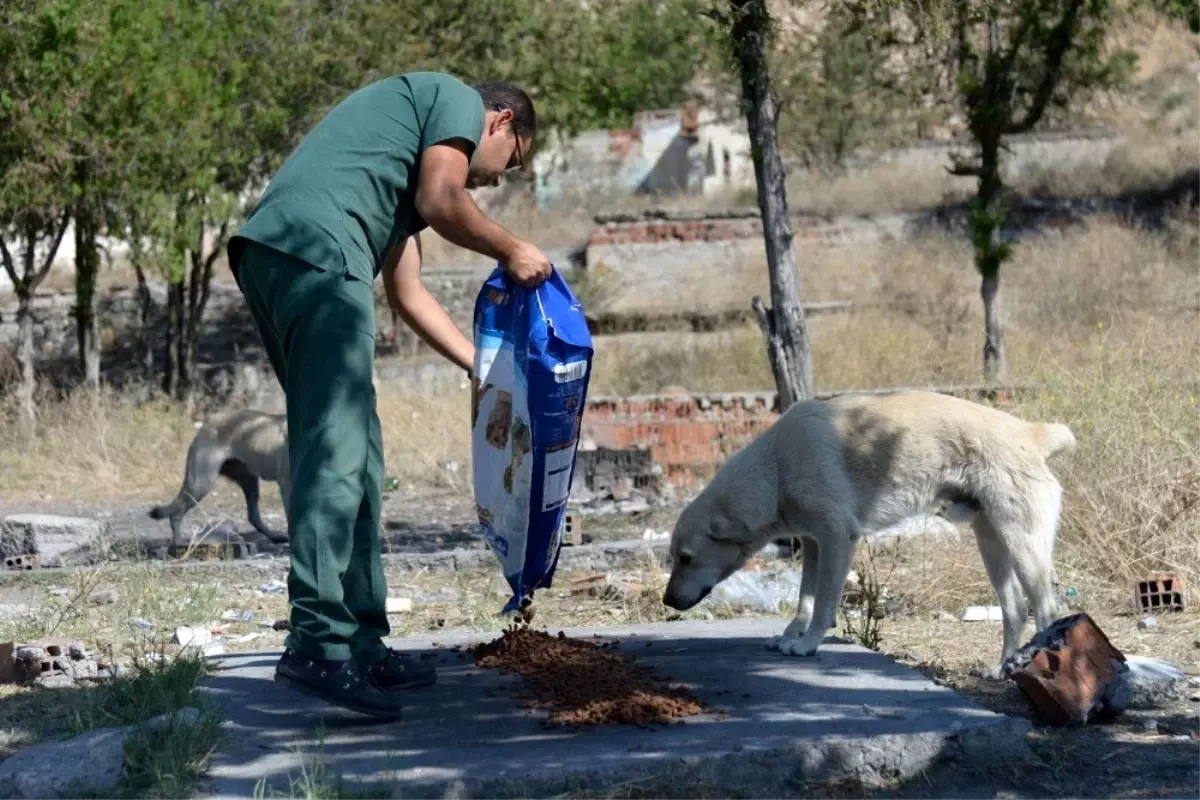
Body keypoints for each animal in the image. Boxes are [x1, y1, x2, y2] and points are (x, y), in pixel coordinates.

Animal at [667, 391, 1080, 681]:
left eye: (686, 558)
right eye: (674, 558)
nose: (667, 601)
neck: (777, 468)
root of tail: (1032, 432)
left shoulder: (837, 540)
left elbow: (822, 606)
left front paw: (808, 644)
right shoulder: (814, 544)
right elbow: (804, 600)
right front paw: (789, 637)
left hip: (1022, 546)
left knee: (1047, 610)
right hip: (992, 544)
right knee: (1015, 610)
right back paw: (1003, 670)